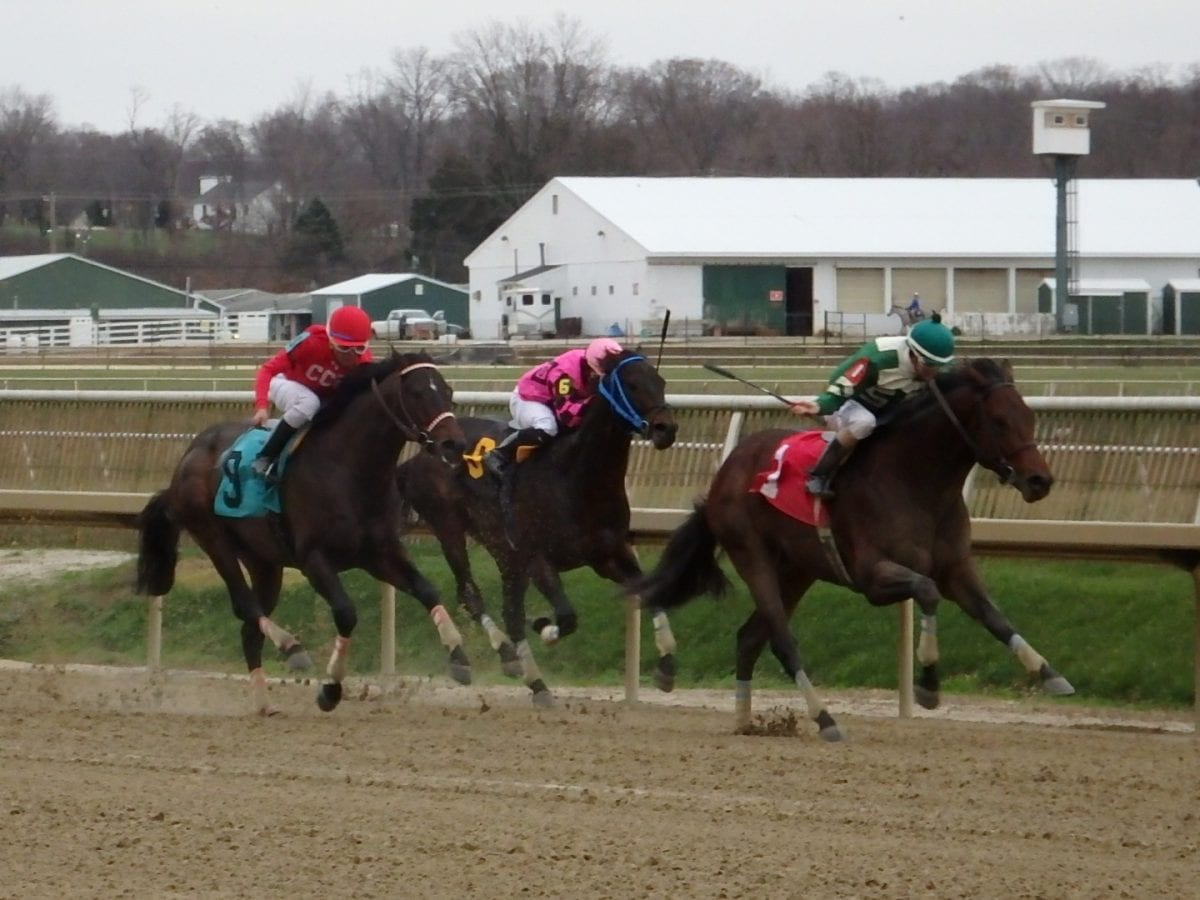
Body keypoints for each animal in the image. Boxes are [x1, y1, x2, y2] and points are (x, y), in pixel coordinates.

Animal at [133, 348, 465, 715]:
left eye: (447, 391)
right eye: (418, 393)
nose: (454, 444)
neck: (350, 470)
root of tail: (188, 456)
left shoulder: (380, 553)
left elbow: (427, 591)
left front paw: (458, 656)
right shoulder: (314, 559)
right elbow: (346, 613)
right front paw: (330, 689)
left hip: (264, 561)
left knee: (249, 629)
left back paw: (264, 702)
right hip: (213, 539)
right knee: (245, 605)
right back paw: (291, 647)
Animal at [398, 348, 681, 710]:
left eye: (661, 381)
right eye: (631, 384)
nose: (665, 429)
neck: (579, 478)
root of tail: (418, 456)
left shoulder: (610, 555)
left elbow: (651, 591)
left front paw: (667, 667)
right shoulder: (538, 559)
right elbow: (567, 616)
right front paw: (545, 626)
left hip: (503, 551)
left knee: (510, 612)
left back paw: (534, 681)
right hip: (450, 529)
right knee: (470, 595)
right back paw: (501, 658)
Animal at [628, 355, 1070, 744]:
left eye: (1029, 416)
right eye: (998, 421)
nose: (1039, 481)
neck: (915, 481)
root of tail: (726, 471)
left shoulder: (957, 568)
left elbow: (994, 616)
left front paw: (1050, 674)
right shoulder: (872, 576)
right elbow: (927, 592)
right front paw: (928, 686)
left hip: (796, 570)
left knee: (750, 637)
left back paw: (744, 720)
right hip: (753, 556)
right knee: (782, 641)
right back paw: (825, 720)